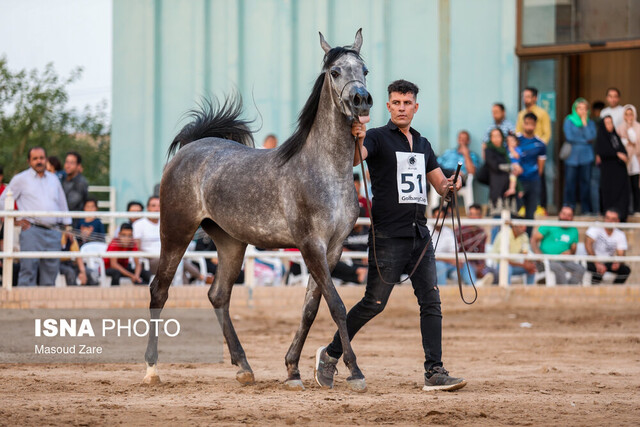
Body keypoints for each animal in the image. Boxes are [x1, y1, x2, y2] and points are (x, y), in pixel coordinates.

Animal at [144, 29, 376, 392]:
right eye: (335, 71)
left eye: (364, 70)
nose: (361, 100)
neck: (325, 169)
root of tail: (191, 148)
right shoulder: (311, 245)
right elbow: (337, 305)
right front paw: (355, 372)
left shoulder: (333, 249)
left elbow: (311, 308)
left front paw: (293, 370)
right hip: (175, 233)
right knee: (159, 291)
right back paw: (152, 369)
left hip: (231, 243)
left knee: (218, 295)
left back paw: (243, 367)